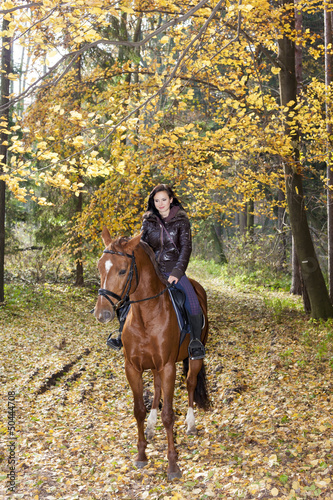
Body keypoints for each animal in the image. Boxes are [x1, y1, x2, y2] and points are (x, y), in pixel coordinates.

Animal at [94, 228, 208, 480]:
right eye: (99, 267)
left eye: (122, 270)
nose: (101, 314)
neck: (146, 315)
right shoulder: (132, 367)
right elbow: (138, 410)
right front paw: (141, 454)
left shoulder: (168, 366)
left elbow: (169, 415)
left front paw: (173, 464)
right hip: (154, 367)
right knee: (156, 388)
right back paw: (151, 426)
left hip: (194, 357)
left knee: (191, 383)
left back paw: (190, 424)